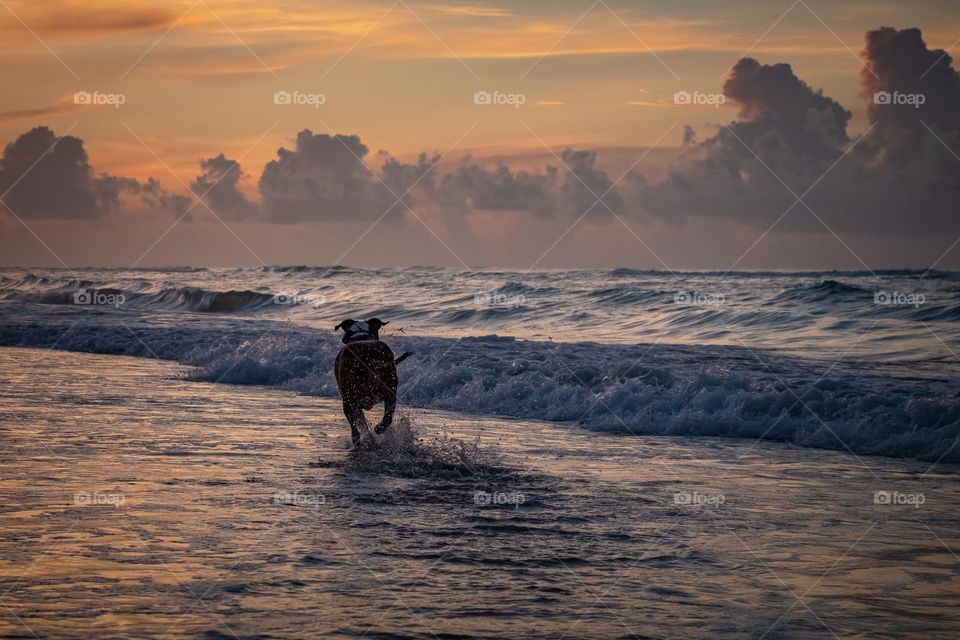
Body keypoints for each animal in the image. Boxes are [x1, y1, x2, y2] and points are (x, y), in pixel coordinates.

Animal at [334, 318, 408, 448]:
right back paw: (377, 430)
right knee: (387, 416)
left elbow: (358, 423)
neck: (361, 336)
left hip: (350, 396)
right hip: (388, 388)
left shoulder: (350, 401)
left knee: (355, 425)